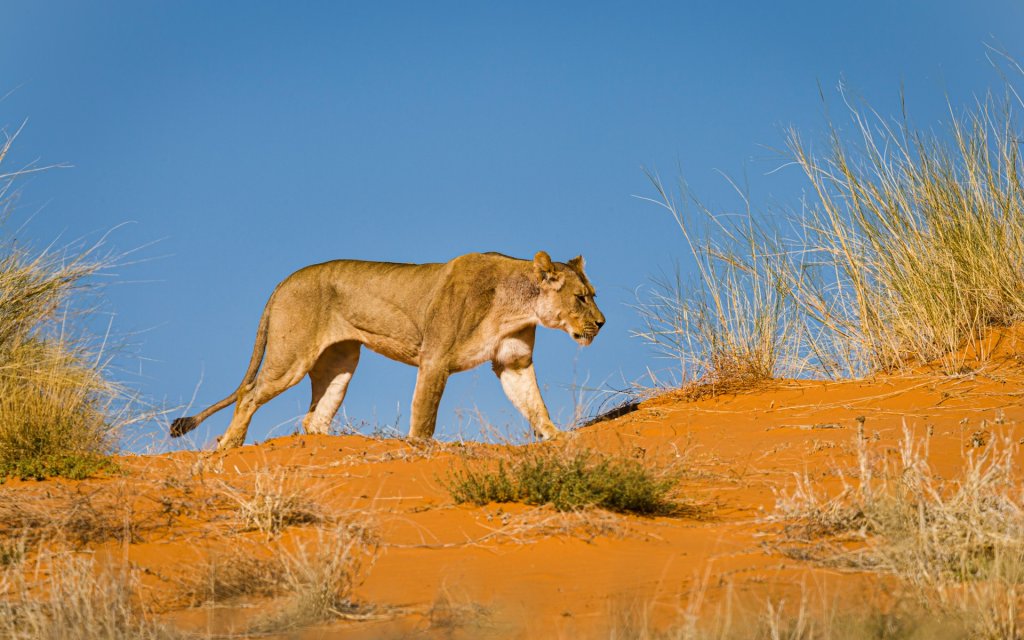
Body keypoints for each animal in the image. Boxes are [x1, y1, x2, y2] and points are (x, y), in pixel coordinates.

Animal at [170, 251, 604, 450]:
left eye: (593, 295)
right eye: (581, 298)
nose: (601, 323)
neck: (516, 305)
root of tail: (284, 280)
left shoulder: (513, 362)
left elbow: (535, 404)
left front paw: (558, 438)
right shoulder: (435, 359)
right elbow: (424, 415)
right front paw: (420, 449)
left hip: (342, 361)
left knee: (314, 418)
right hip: (291, 358)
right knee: (249, 394)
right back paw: (228, 446)